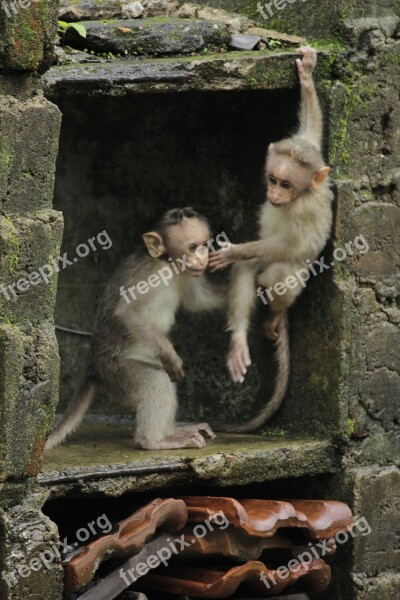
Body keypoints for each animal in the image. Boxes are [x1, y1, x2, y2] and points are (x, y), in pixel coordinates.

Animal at [45, 210, 227, 450]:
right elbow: (128, 312)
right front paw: (171, 356)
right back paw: (153, 441)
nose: (202, 258)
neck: (167, 262)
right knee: (157, 381)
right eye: (191, 247)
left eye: (204, 244)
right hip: (116, 372)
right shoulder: (154, 275)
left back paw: (171, 432)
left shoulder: (186, 275)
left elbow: (200, 301)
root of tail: (92, 369)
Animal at [209, 47, 334, 432]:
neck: (302, 195)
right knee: (249, 271)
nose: (274, 195)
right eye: (273, 180)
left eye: (287, 185)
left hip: (286, 280)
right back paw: (238, 342)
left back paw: (274, 318)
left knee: (281, 272)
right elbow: (312, 132)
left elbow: (292, 246)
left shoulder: (305, 208)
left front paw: (235, 249)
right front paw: (307, 77)